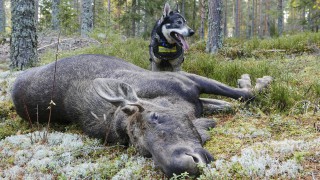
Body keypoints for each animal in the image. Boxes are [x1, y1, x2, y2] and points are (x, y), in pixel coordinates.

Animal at [12, 53, 272, 177]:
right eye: (144, 151)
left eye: (155, 116)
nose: (183, 166)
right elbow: (230, 102)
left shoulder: (190, 79)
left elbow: (244, 94)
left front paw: (256, 80)